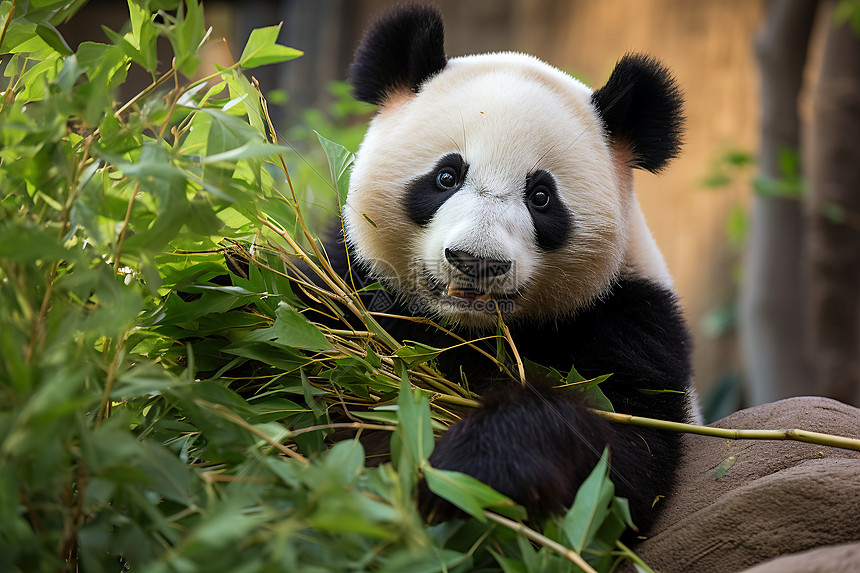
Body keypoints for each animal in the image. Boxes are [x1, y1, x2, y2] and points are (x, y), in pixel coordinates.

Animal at [326, 3, 696, 532]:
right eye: (446, 176)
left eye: (541, 197)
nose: (476, 261)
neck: (470, 329)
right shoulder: (350, 272)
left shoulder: (633, 323)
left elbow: (628, 456)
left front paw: (469, 466)